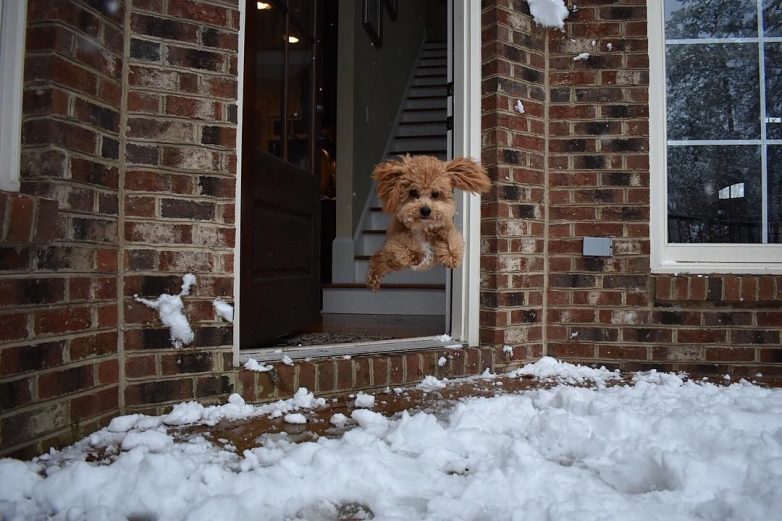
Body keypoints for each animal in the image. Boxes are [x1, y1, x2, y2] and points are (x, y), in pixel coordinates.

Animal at [366, 154, 490, 292]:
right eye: (413, 192)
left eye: (435, 194)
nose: (425, 210)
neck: (422, 227)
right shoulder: (394, 241)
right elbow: (402, 244)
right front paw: (414, 254)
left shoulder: (446, 228)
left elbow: (452, 239)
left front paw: (451, 256)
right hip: (389, 260)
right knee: (377, 260)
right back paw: (373, 280)